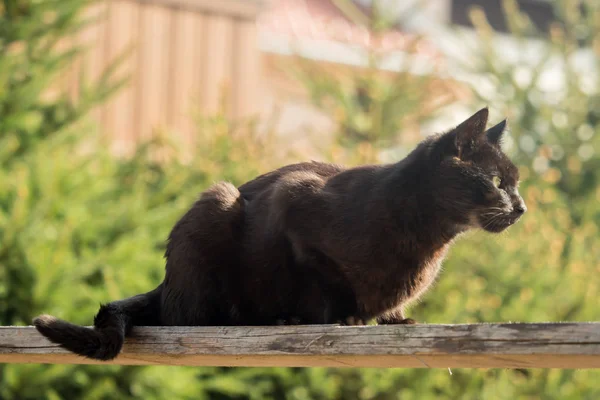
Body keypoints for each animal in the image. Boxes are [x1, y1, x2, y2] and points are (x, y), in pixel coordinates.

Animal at [35, 108, 528, 360]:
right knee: (196, 317)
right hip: (216, 204)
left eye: (516, 182)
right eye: (497, 182)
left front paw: (395, 319)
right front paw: (344, 318)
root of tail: (164, 284)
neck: (429, 242)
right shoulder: (294, 203)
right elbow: (322, 282)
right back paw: (272, 320)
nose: (522, 208)